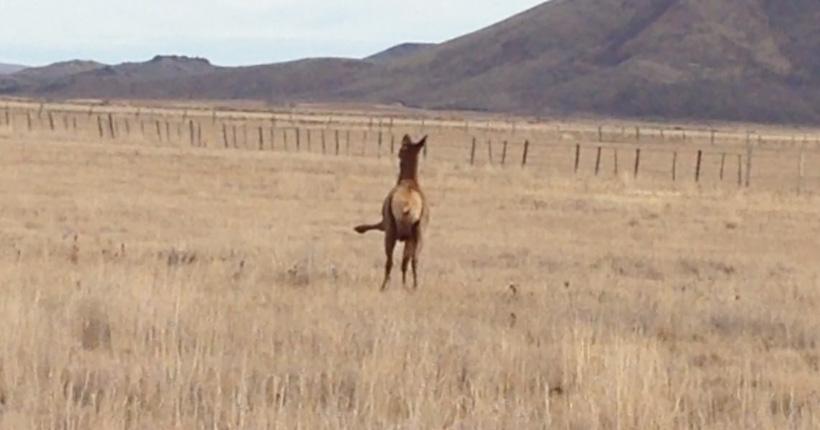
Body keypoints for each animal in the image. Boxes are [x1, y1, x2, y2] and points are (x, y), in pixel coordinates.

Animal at [354, 135, 430, 291]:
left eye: (402, 148)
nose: (406, 136)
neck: (409, 180)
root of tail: (407, 206)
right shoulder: (409, 237)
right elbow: (405, 263)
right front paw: (404, 284)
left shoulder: (385, 221)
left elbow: (375, 225)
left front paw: (359, 228)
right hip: (419, 231)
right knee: (413, 260)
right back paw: (414, 286)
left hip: (391, 230)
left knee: (389, 261)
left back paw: (383, 286)